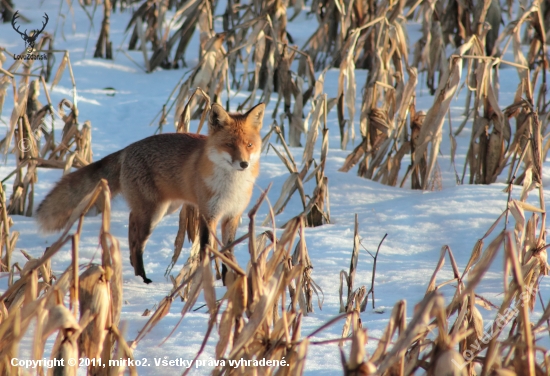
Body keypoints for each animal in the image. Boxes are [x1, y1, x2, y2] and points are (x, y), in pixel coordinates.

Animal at [36, 101, 266, 284]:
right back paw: (143, 278)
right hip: (153, 213)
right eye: (229, 145)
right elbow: (207, 249)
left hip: (165, 207)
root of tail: (127, 149)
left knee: (132, 222)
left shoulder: (232, 215)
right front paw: (206, 282)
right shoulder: (209, 214)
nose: (244, 164)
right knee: (138, 242)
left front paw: (228, 281)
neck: (231, 187)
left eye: (249, 145)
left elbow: (228, 251)